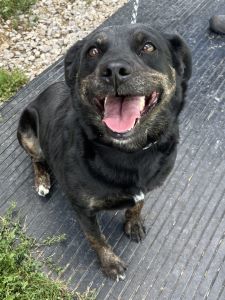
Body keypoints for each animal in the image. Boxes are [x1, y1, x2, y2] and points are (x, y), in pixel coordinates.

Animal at [17, 24, 192, 280]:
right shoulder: (83, 209)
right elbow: (96, 238)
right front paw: (110, 264)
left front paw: (133, 223)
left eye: (148, 47)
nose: (115, 71)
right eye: (93, 51)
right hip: (27, 131)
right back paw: (42, 181)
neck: (129, 152)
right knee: (36, 159)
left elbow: (138, 203)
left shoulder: (144, 187)